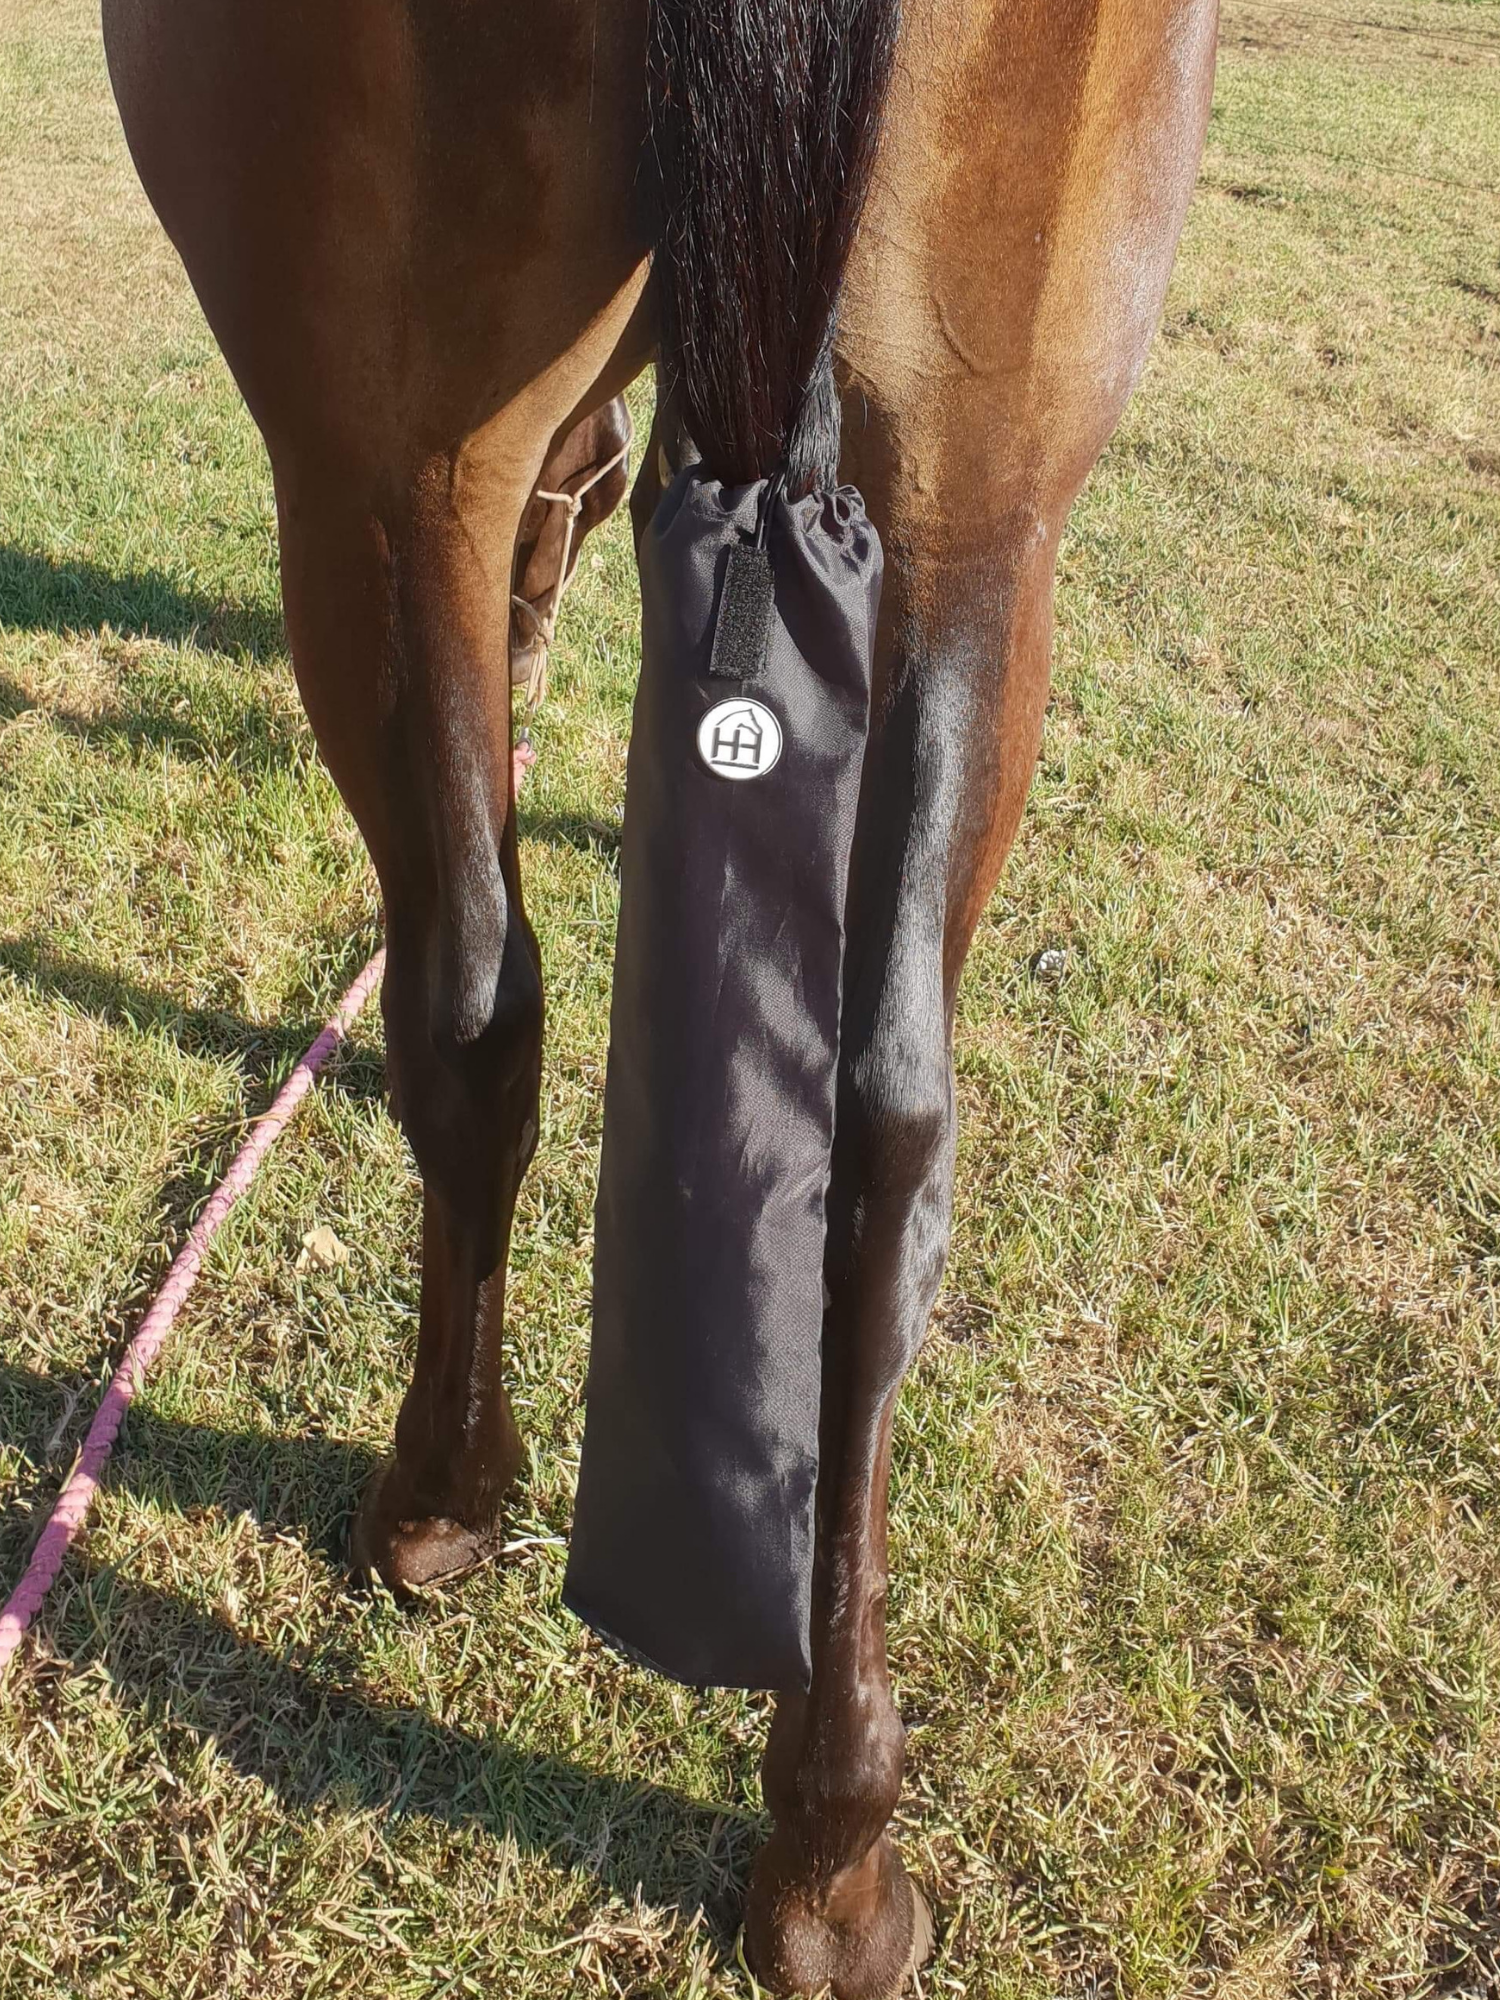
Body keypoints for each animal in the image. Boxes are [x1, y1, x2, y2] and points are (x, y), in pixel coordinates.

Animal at [97, 7, 1224, 1992]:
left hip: (422, 470)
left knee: (490, 1011)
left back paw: (474, 1530)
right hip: (963, 498)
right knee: (840, 1129)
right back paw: (816, 1828)